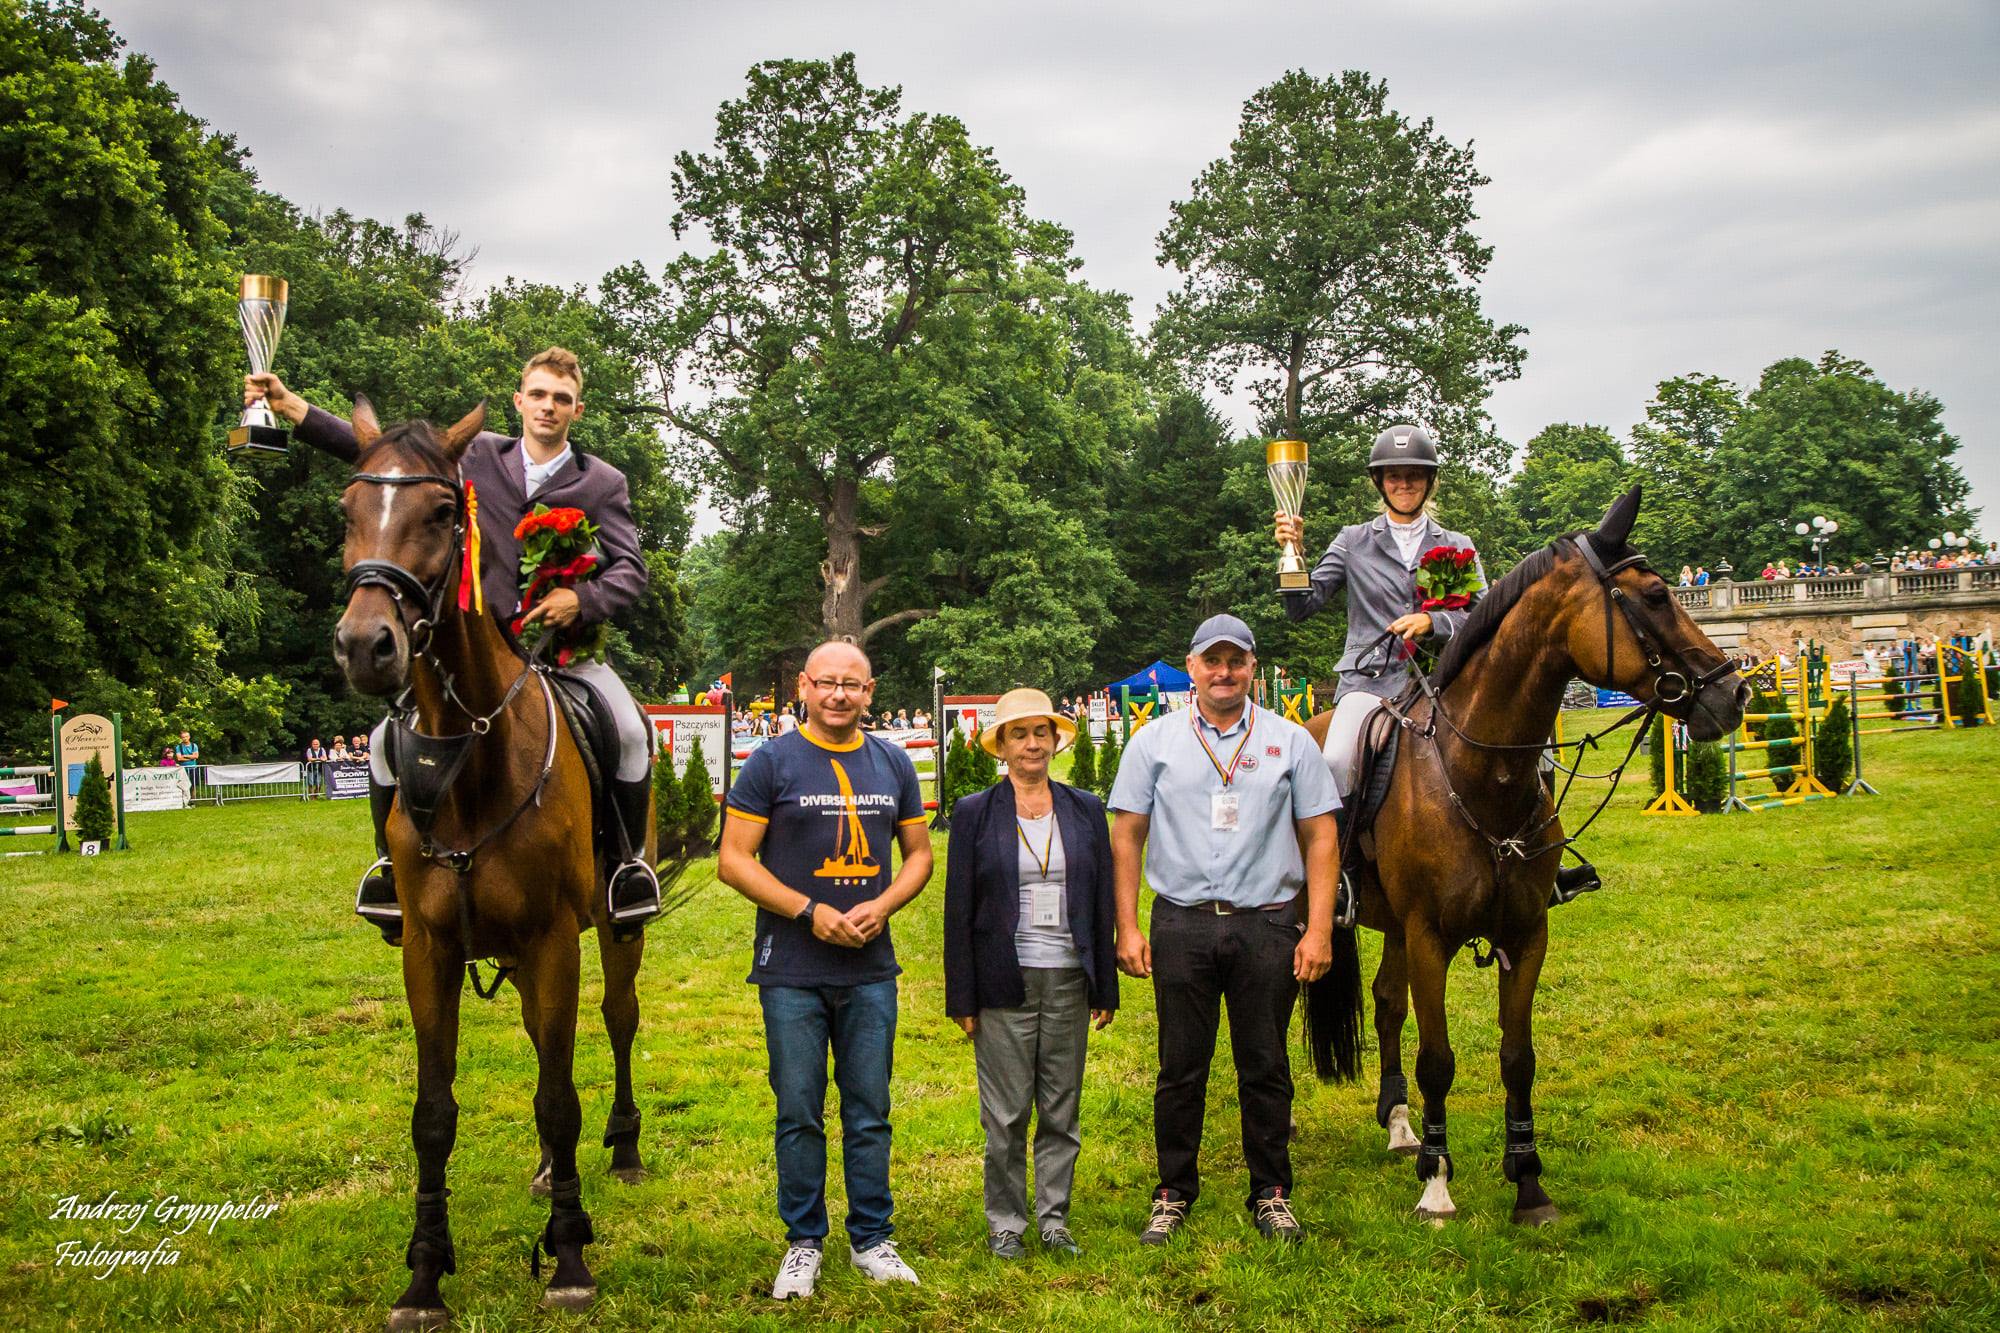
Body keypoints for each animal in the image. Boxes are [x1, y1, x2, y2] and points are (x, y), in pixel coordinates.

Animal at [336, 400, 656, 1320]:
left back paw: (621, 1150)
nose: (366, 645)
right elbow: (434, 1112)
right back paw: (550, 1174)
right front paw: (423, 1271)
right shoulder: (429, 950)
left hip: (613, 932)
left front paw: (570, 1255)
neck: (466, 750)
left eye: (443, 512)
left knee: (616, 1023)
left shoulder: (553, 942)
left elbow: (559, 1096)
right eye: (347, 508)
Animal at [1296, 488, 1752, 1224]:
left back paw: (1399, 1122)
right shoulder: (1432, 937)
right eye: (1657, 595)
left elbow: (1518, 1057)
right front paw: (1437, 1182)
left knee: (1388, 1003)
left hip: (1394, 925)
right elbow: (1439, 1059)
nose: (1733, 694)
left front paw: (1528, 1181)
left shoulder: (1526, 933)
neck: (1479, 773)